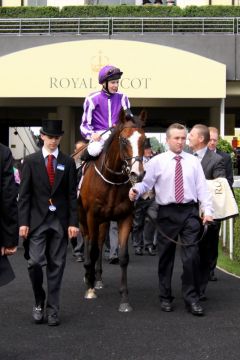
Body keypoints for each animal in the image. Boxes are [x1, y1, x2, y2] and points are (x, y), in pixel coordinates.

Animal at [76, 109, 146, 312]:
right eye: (123, 140)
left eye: (144, 139)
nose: (138, 174)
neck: (112, 180)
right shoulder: (91, 216)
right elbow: (91, 249)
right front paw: (90, 289)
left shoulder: (126, 217)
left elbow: (123, 257)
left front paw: (124, 299)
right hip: (83, 218)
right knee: (88, 240)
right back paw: (88, 274)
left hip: (104, 221)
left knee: (99, 243)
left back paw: (97, 278)